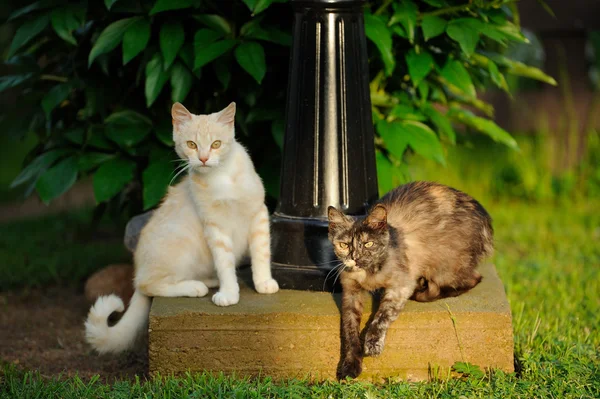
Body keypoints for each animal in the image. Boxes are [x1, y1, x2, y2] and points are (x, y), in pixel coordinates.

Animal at [84, 101, 278, 354]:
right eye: (191, 145)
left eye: (216, 144)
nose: (203, 158)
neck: (222, 177)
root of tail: (139, 266)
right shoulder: (214, 226)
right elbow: (224, 262)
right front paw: (229, 292)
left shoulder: (258, 213)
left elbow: (261, 253)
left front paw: (263, 282)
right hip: (179, 245)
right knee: (149, 285)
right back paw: (194, 287)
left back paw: (209, 281)